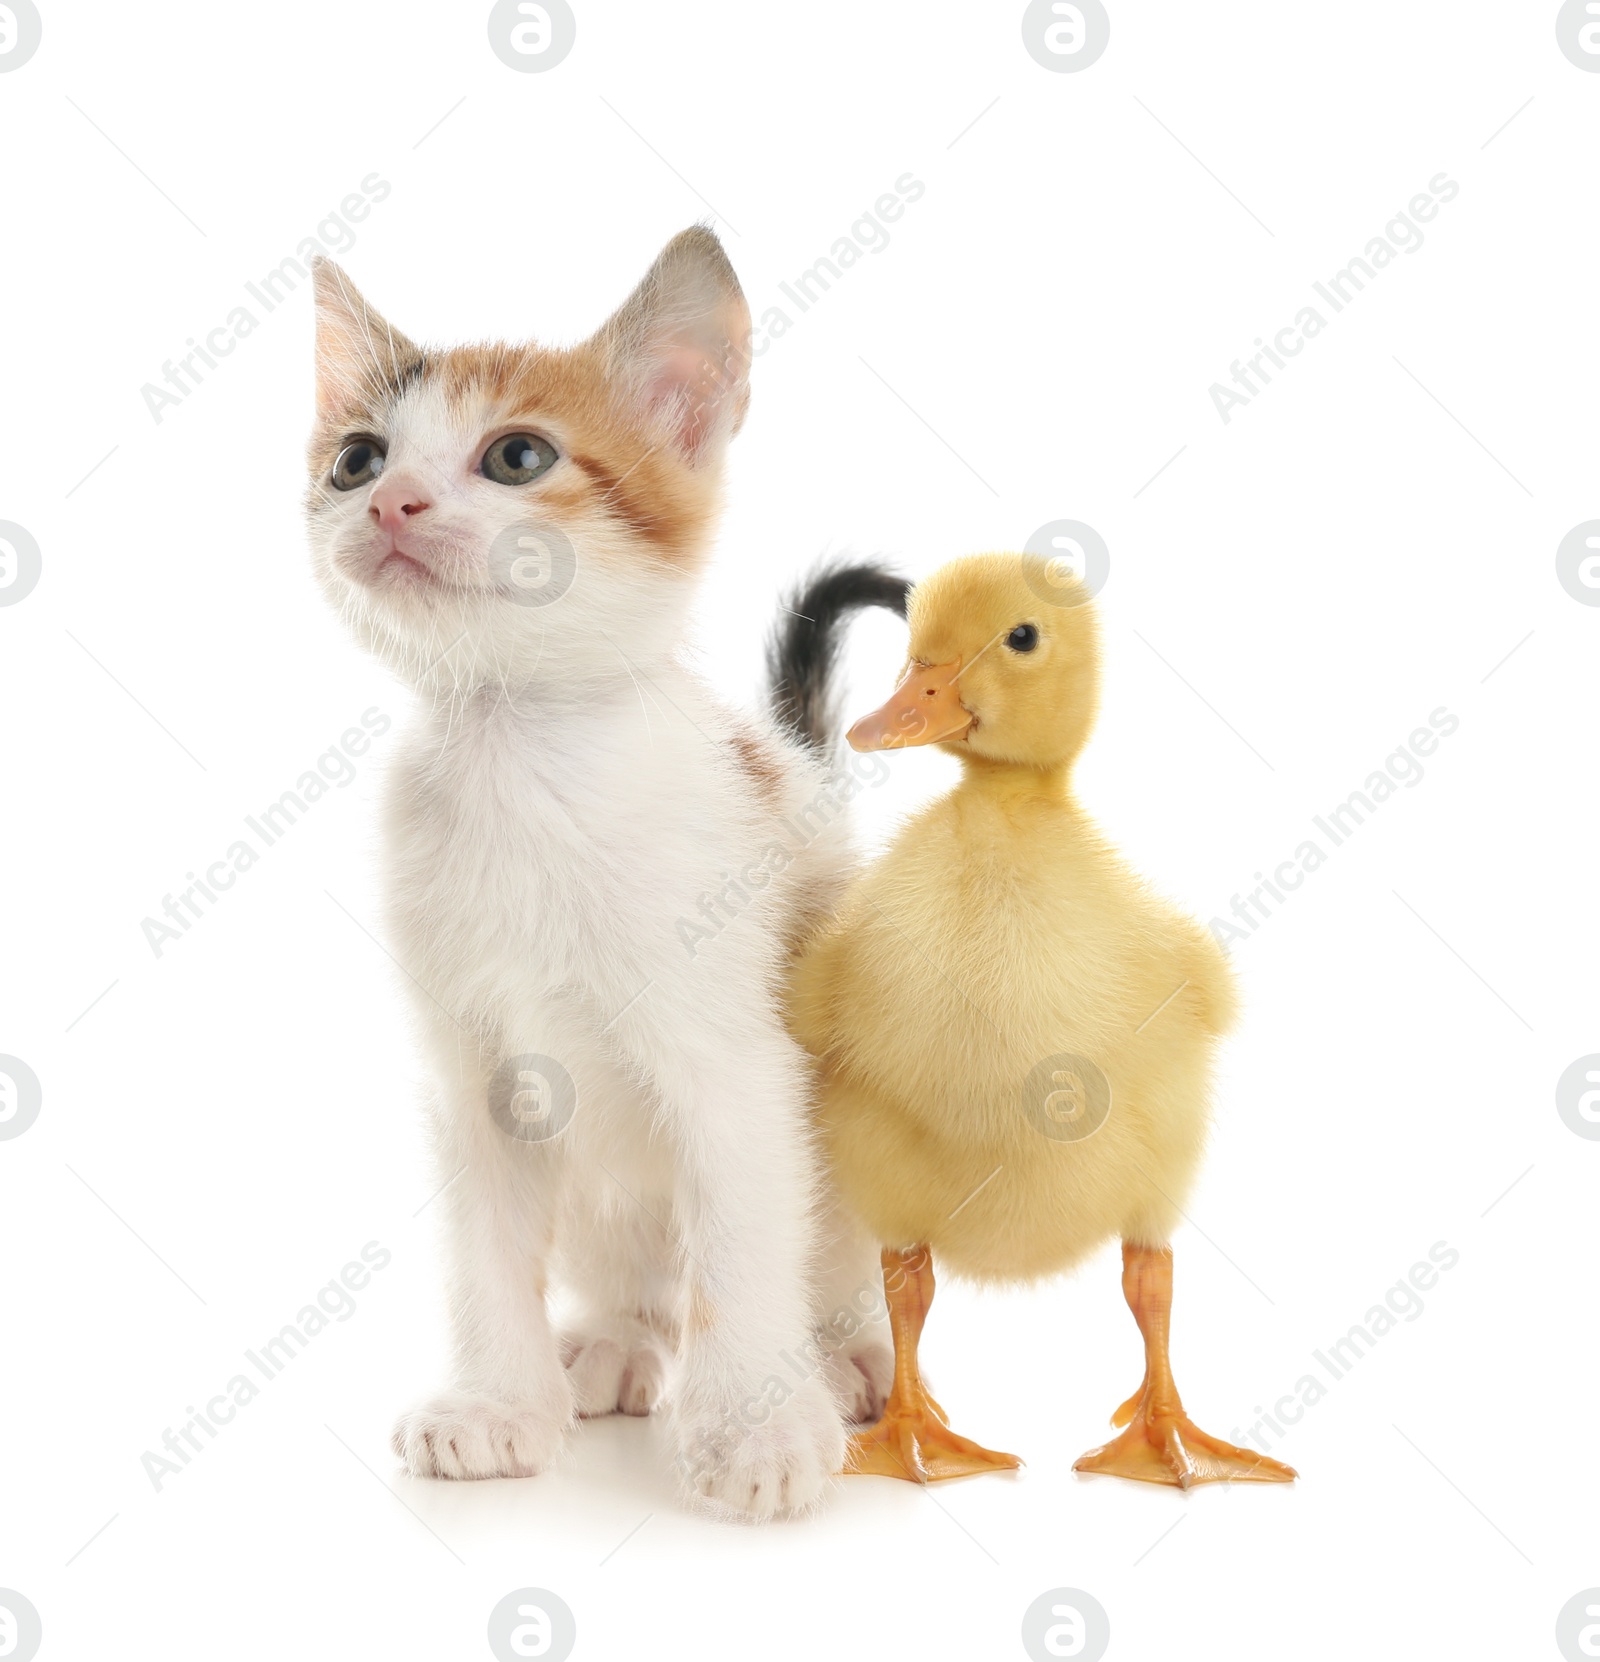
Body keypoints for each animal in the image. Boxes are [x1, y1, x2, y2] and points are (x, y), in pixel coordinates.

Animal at [304, 227, 903, 1515]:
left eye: (517, 457)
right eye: (357, 458)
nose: (389, 501)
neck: (516, 764)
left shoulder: (737, 1068)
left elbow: (741, 1249)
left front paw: (755, 1430)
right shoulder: (470, 1077)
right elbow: (484, 1256)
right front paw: (496, 1406)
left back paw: (843, 1358)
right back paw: (617, 1343)